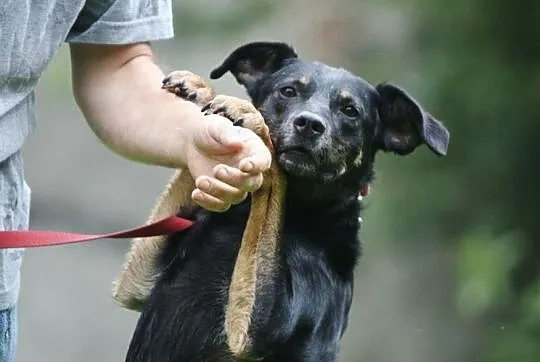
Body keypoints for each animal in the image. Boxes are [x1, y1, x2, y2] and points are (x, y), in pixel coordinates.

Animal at [124, 41, 450, 360]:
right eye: (288, 91)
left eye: (350, 111)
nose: (309, 124)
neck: (301, 212)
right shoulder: (138, 284)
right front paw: (201, 90)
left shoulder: (250, 328)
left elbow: (272, 166)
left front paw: (249, 115)